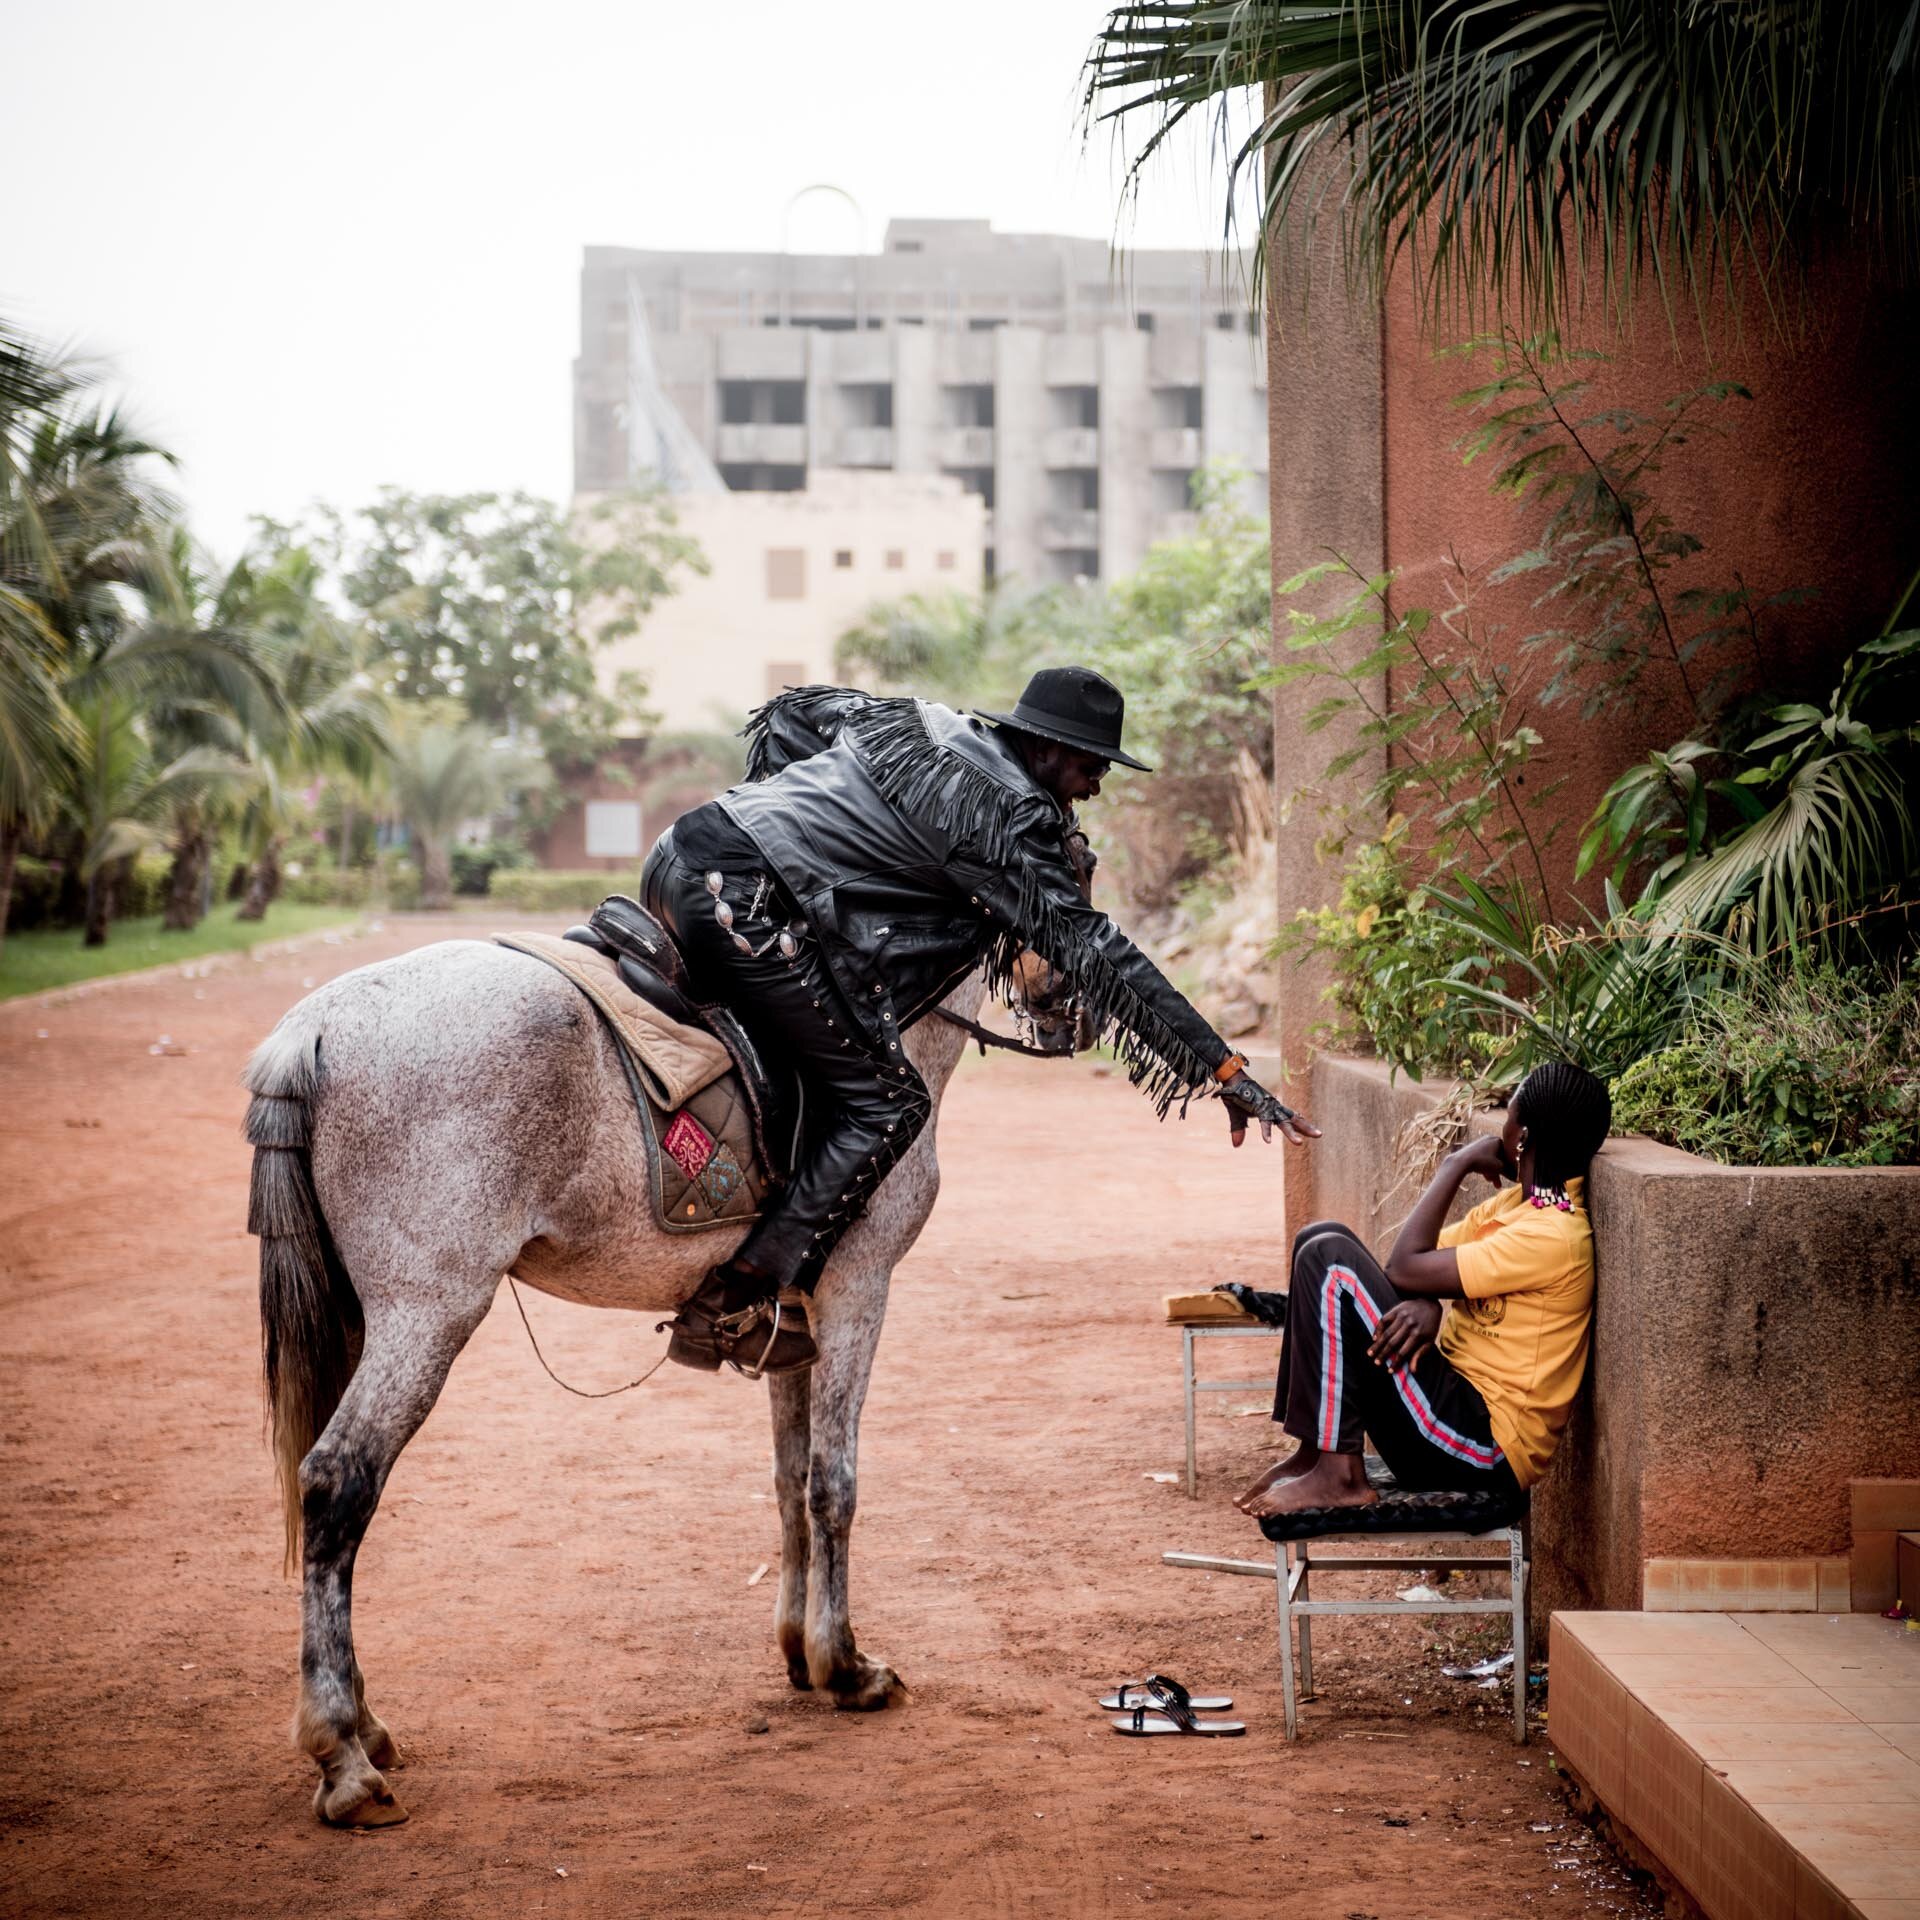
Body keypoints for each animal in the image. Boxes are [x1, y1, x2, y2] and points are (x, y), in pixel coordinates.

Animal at [243, 936, 1067, 1820]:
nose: (1065, 1007)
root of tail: (316, 1023)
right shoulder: (859, 1289)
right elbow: (833, 1487)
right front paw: (845, 1667)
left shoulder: (795, 1322)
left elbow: (789, 1481)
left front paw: (800, 1653)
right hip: (426, 1316)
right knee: (337, 1484)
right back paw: (343, 1756)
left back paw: (367, 1727)